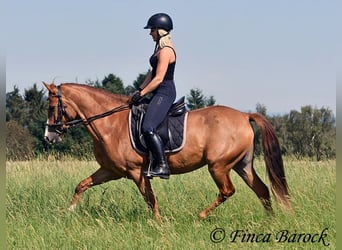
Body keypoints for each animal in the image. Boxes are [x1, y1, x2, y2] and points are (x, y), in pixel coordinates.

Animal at [42, 81, 292, 220]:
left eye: (52, 107)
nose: (49, 136)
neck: (111, 123)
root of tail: (244, 115)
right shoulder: (110, 170)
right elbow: (81, 185)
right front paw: (68, 211)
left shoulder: (136, 172)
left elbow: (150, 199)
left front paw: (159, 224)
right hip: (242, 165)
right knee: (262, 190)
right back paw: (270, 223)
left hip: (219, 166)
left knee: (227, 191)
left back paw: (200, 216)